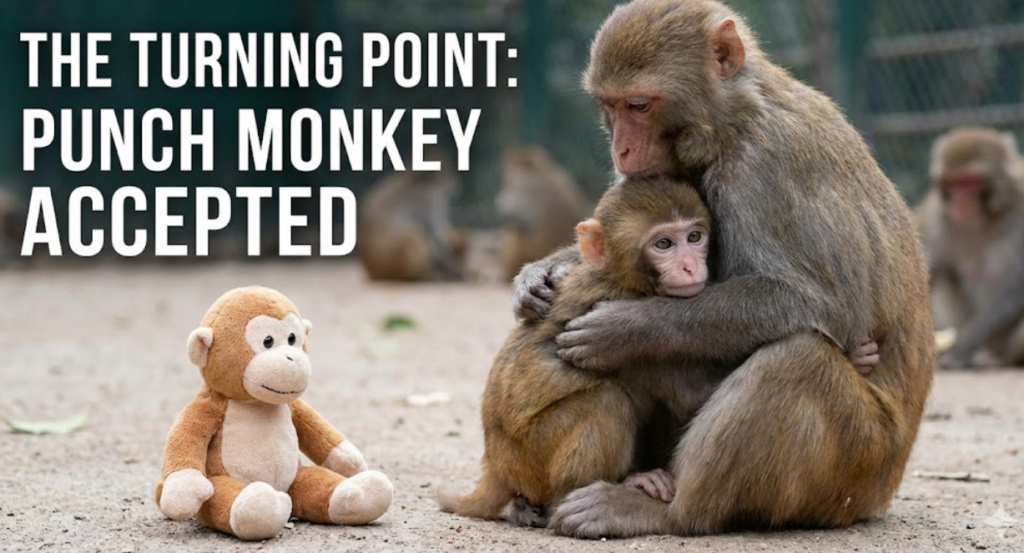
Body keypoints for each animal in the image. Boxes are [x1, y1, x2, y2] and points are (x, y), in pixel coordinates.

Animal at [509, 0, 933, 538]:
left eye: (639, 105)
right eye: (610, 106)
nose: (620, 150)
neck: (730, 123)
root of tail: (883, 489)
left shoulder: (761, 169)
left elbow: (821, 303)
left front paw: (624, 330)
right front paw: (538, 277)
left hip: (859, 466)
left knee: (795, 359)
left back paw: (664, 511)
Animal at [917, 127, 1024, 368]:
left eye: (970, 182)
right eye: (953, 183)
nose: (960, 202)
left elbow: (1015, 289)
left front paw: (959, 349)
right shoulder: (937, 220)